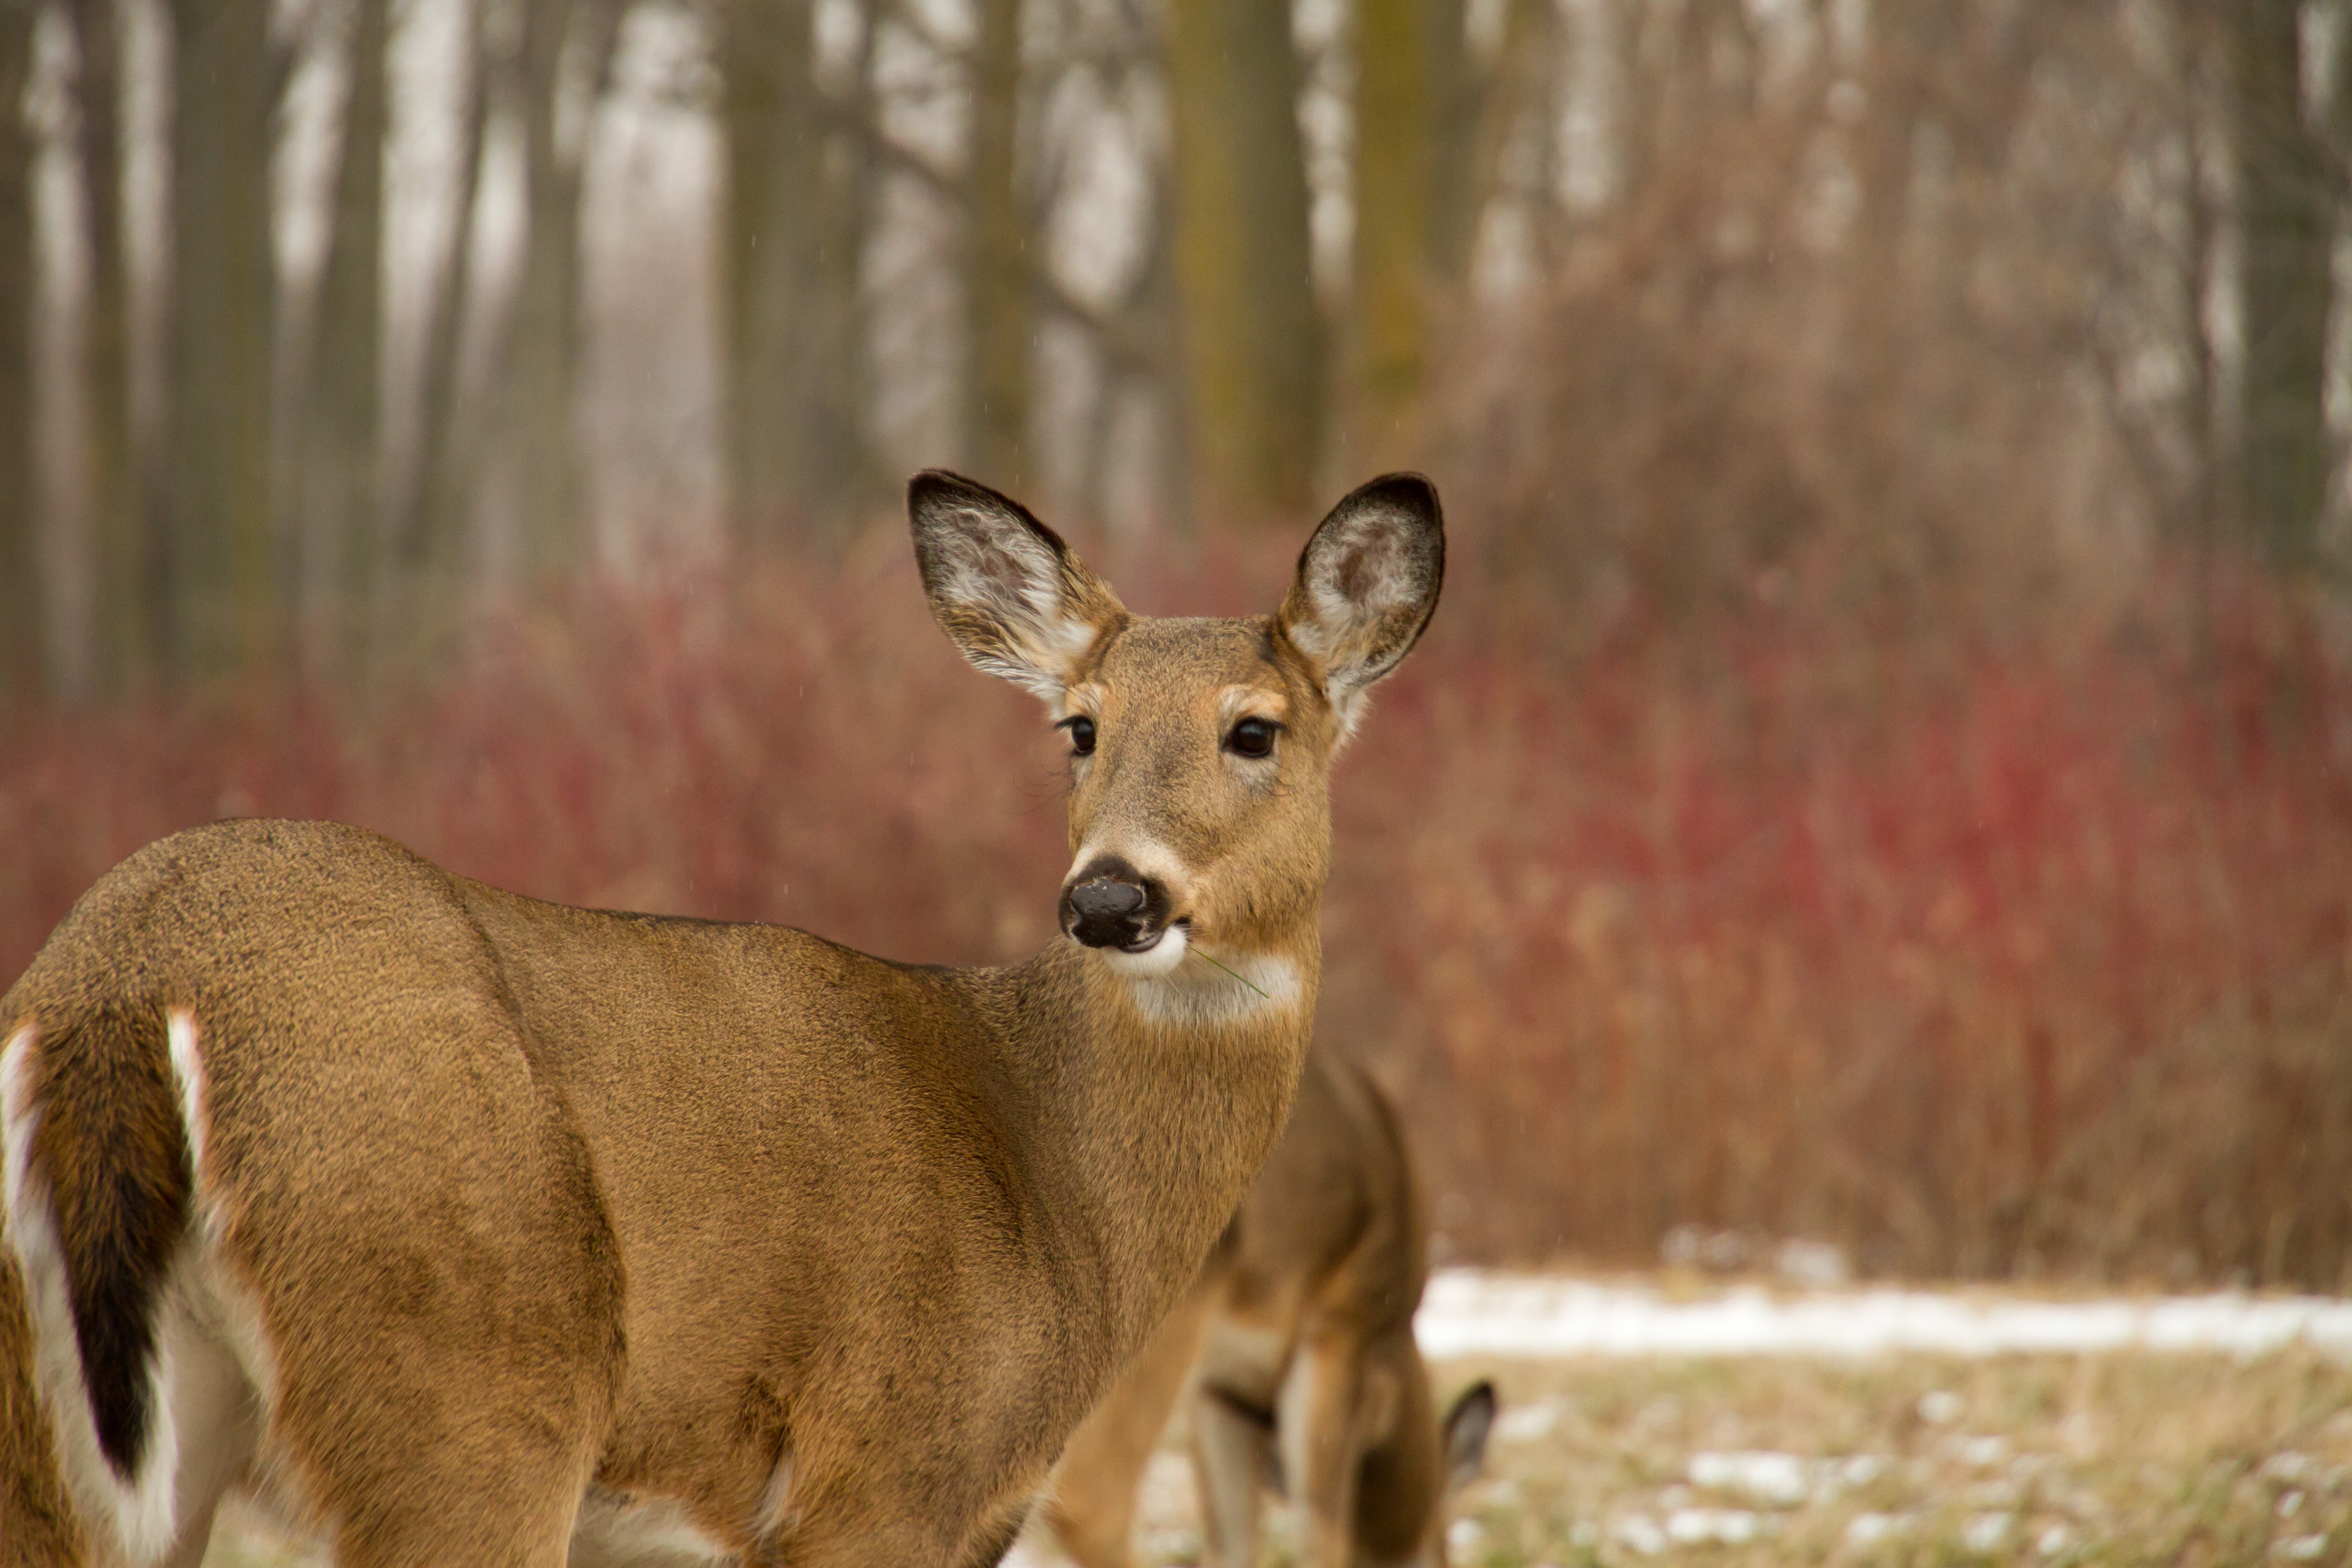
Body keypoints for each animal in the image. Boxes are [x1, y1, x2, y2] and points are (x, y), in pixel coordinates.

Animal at [0, 475, 1430, 1568]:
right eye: (1079, 727)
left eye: (1255, 730)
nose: (1110, 896)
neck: (1053, 1187)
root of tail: (129, 978)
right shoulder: (883, 1476)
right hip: (466, 1371)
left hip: (73, 1433)